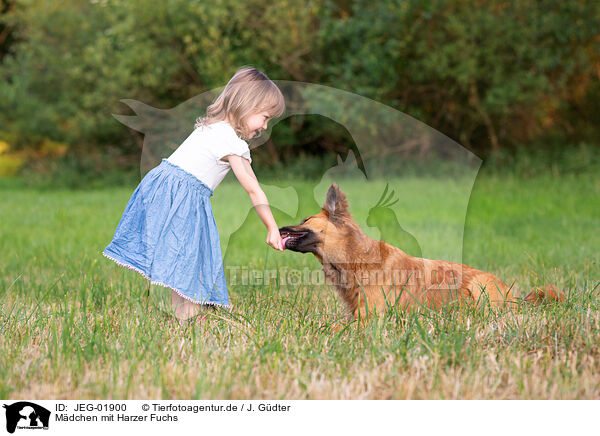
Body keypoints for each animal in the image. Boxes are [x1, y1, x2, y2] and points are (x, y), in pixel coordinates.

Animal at [278, 184, 564, 320]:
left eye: (305, 220)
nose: (279, 228)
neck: (354, 258)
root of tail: (514, 297)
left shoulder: (367, 317)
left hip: (480, 287)